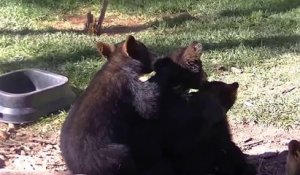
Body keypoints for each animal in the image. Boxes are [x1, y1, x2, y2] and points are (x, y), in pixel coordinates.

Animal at [59, 35, 170, 175]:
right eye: (145, 50)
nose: (157, 56)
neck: (118, 63)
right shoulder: (130, 84)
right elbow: (149, 105)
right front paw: (164, 66)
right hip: (109, 155)